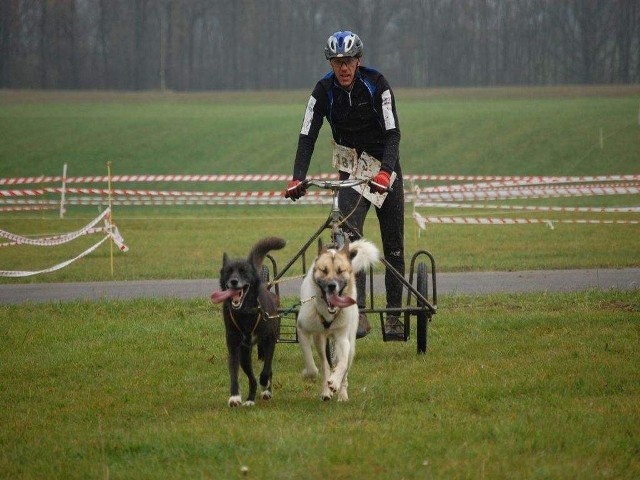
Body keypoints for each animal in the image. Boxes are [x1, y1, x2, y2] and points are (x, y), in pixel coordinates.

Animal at [211, 236, 286, 404]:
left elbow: (266, 370)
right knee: (251, 378)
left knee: (267, 370)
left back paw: (266, 390)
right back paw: (250, 399)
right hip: (245, 354)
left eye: (243, 271)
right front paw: (234, 397)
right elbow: (233, 372)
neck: (245, 312)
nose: (233, 281)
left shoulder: (270, 340)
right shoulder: (233, 344)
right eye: (228, 271)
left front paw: (265, 383)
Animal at [296, 239, 380, 402]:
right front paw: (308, 374)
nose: (331, 286)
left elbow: (342, 364)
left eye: (341, 271)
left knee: (345, 366)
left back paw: (342, 393)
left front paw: (335, 382)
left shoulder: (342, 338)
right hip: (320, 340)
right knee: (325, 364)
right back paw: (326, 391)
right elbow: (312, 365)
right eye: (324, 270)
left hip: (351, 342)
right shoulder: (302, 329)